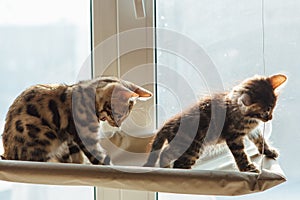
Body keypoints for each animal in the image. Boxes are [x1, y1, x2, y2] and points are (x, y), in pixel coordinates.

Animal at [1, 76, 152, 164]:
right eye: (120, 115)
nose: (117, 126)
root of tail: (7, 154)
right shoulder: (85, 134)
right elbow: (96, 155)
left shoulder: (71, 136)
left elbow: (77, 155)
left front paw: (80, 163)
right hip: (44, 135)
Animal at [144, 74, 288, 173]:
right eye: (266, 111)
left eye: (273, 107)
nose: (270, 118)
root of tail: (169, 123)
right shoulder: (233, 136)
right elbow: (240, 154)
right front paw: (247, 168)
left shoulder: (252, 131)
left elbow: (260, 140)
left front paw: (269, 151)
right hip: (191, 147)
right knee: (169, 155)